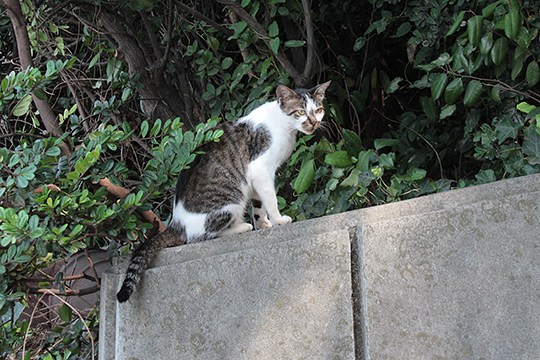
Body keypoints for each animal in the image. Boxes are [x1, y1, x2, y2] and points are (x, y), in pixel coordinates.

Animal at [116, 81, 332, 300]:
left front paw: (263, 224)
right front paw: (279, 220)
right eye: (300, 112)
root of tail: (176, 223)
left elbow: (258, 205)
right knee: (202, 236)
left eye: (318, 110)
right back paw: (242, 227)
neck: (283, 124)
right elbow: (270, 200)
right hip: (231, 201)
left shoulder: (254, 179)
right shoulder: (261, 169)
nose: (314, 123)